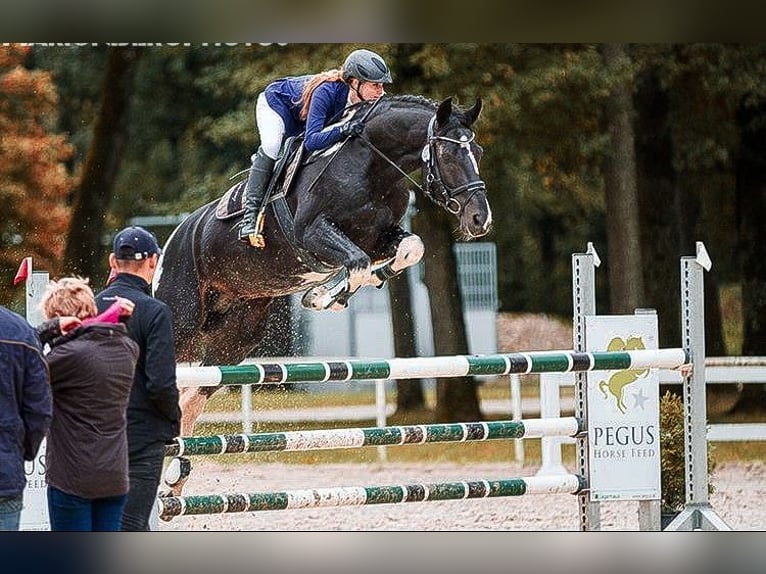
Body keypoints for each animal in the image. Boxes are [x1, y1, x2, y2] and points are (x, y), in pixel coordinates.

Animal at [153, 95, 496, 500]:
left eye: (477, 151)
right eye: (446, 152)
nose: (480, 220)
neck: (375, 167)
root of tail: (177, 234)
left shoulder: (382, 237)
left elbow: (410, 248)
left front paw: (335, 291)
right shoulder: (313, 233)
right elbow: (357, 263)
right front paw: (323, 294)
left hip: (236, 340)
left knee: (195, 393)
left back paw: (176, 478)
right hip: (182, 320)